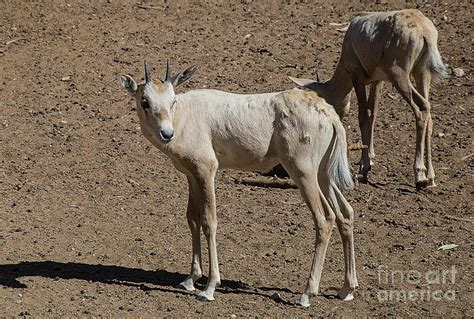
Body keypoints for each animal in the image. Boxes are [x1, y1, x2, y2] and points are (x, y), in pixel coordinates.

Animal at [120, 60, 358, 308]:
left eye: (172, 100)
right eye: (144, 101)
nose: (167, 133)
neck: (183, 116)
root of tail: (326, 111)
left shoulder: (207, 171)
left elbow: (209, 221)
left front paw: (209, 287)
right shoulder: (191, 175)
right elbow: (192, 218)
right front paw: (190, 279)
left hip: (303, 173)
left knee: (324, 219)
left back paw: (306, 294)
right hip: (323, 175)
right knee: (345, 213)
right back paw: (347, 289)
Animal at [290, 10, 446, 190]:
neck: (351, 36)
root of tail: (424, 31)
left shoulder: (356, 75)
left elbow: (363, 116)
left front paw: (364, 169)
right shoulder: (378, 81)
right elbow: (373, 114)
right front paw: (369, 159)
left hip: (399, 76)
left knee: (421, 109)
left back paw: (419, 176)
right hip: (422, 73)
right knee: (429, 114)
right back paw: (431, 178)